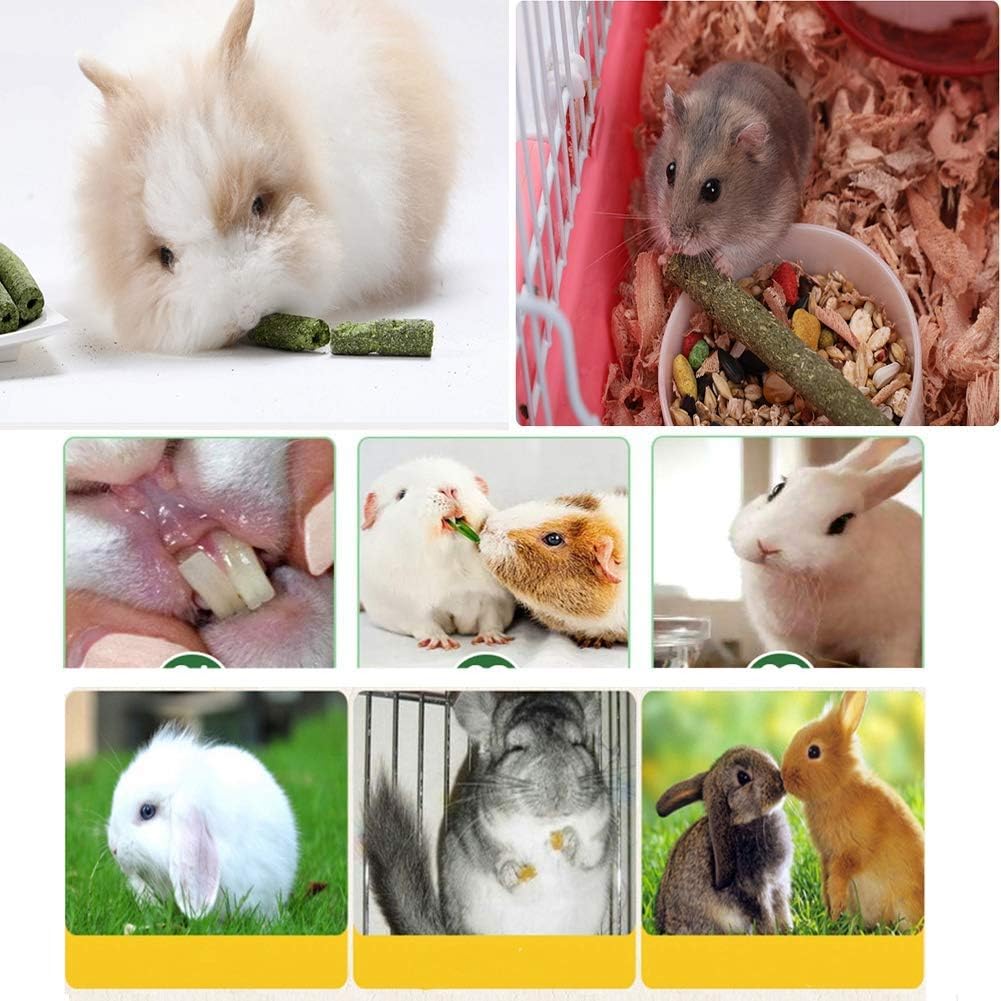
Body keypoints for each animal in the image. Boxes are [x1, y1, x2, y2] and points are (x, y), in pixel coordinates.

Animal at [360, 457, 516, 650]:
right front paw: (442, 643)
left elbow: (491, 619)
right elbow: (427, 626)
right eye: (401, 494)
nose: (448, 489)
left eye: (462, 480)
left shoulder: (494, 600)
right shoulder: (411, 610)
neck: (452, 559)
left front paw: (493, 639)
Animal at [364, 691, 614, 935]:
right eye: (516, 748)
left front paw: (571, 840)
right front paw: (511, 871)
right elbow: (495, 856)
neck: (543, 827)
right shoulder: (481, 831)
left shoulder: (601, 826)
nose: (558, 790)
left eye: (577, 743)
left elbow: (590, 853)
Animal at [646, 61, 813, 277]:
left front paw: (720, 265)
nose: (676, 245)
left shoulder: (772, 220)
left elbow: (743, 248)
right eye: (670, 170)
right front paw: (665, 256)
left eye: (712, 190)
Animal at [654, 746, 792, 935]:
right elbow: (765, 914)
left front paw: (789, 930)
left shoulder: (778, 884)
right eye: (743, 777)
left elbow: (782, 909)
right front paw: (773, 933)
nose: (781, 781)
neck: (742, 820)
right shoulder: (754, 889)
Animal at [781, 691, 924, 929]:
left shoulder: (848, 854)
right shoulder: (827, 857)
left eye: (814, 751)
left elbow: (837, 884)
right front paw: (830, 914)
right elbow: (826, 882)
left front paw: (833, 916)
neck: (838, 788)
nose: (783, 776)